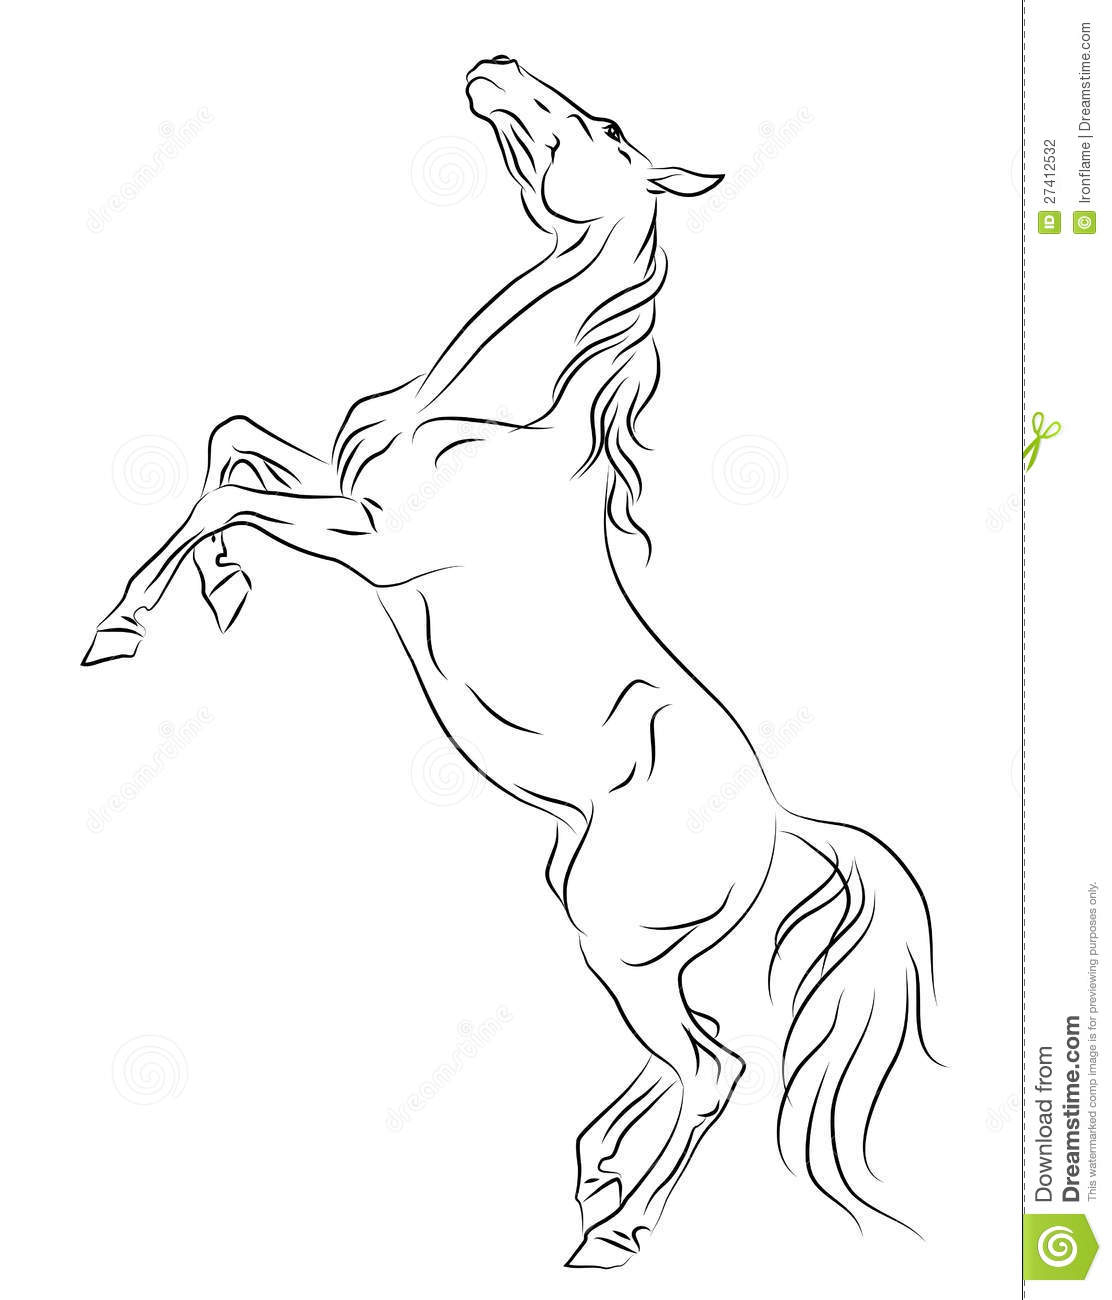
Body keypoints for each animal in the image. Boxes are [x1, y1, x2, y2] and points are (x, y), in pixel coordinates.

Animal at [82, 56, 937, 1269]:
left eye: (609, 127)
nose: (492, 67)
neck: (495, 417)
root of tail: (782, 827)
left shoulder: (376, 547)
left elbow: (232, 493)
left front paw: (123, 627)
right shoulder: (341, 495)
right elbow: (232, 444)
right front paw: (218, 591)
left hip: (623, 944)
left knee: (712, 1066)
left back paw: (614, 1231)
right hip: (614, 940)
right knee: (698, 1050)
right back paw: (595, 1170)